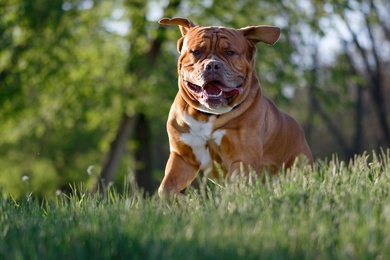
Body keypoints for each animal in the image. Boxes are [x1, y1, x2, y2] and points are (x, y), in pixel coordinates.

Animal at [157, 17, 312, 197]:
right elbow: (166, 187)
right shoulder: (182, 157)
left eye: (230, 52)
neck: (208, 115)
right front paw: (181, 200)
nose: (212, 65)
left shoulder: (242, 159)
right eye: (196, 51)